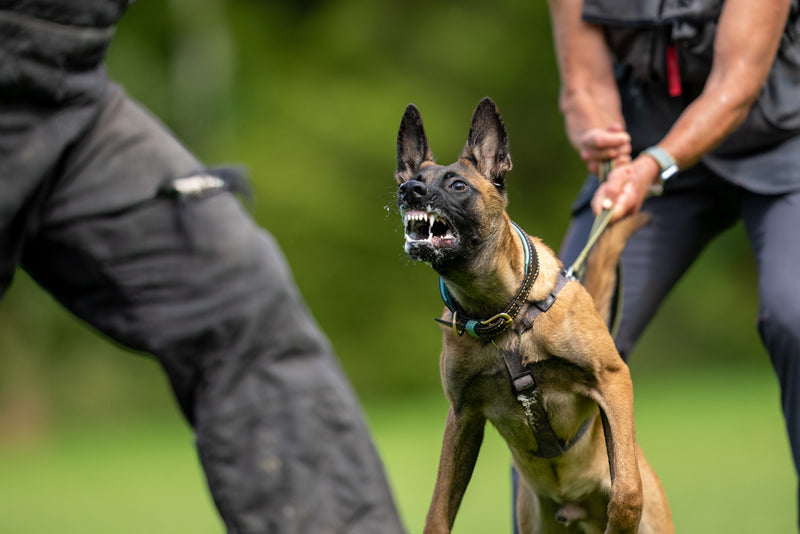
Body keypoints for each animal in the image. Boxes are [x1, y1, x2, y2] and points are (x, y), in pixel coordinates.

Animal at [392, 97, 668, 534]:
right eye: (414, 178)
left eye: (457, 185)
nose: (409, 190)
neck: (502, 314)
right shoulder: (462, 416)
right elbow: (438, 513)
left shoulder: (612, 381)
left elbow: (627, 493)